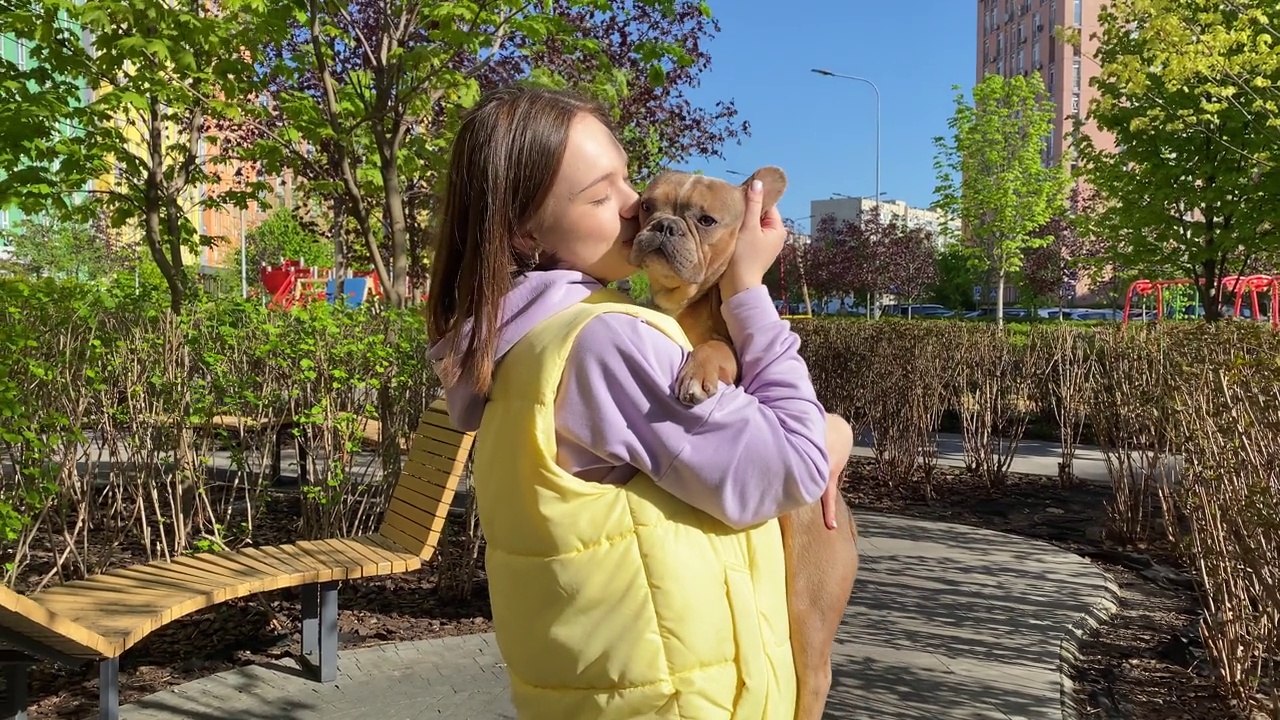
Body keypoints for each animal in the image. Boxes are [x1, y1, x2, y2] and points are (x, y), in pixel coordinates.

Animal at [629, 165, 860, 712]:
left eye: (706, 220)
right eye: (648, 206)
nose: (663, 226)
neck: (686, 302)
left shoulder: (739, 357)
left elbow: (718, 348)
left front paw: (698, 371)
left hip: (809, 607)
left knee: (812, 673)